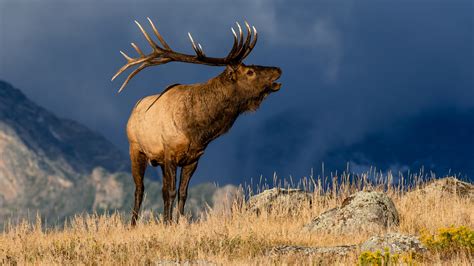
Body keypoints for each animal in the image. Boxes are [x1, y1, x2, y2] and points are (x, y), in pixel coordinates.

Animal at [112, 18, 282, 227]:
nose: (278, 69)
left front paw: (178, 222)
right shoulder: (170, 153)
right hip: (136, 148)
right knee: (139, 189)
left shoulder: (193, 158)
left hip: (157, 160)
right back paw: (133, 224)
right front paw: (168, 224)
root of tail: (132, 111)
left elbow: (182, 193)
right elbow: (171, 191)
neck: (196, 130)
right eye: (250, 72)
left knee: (160, 189)